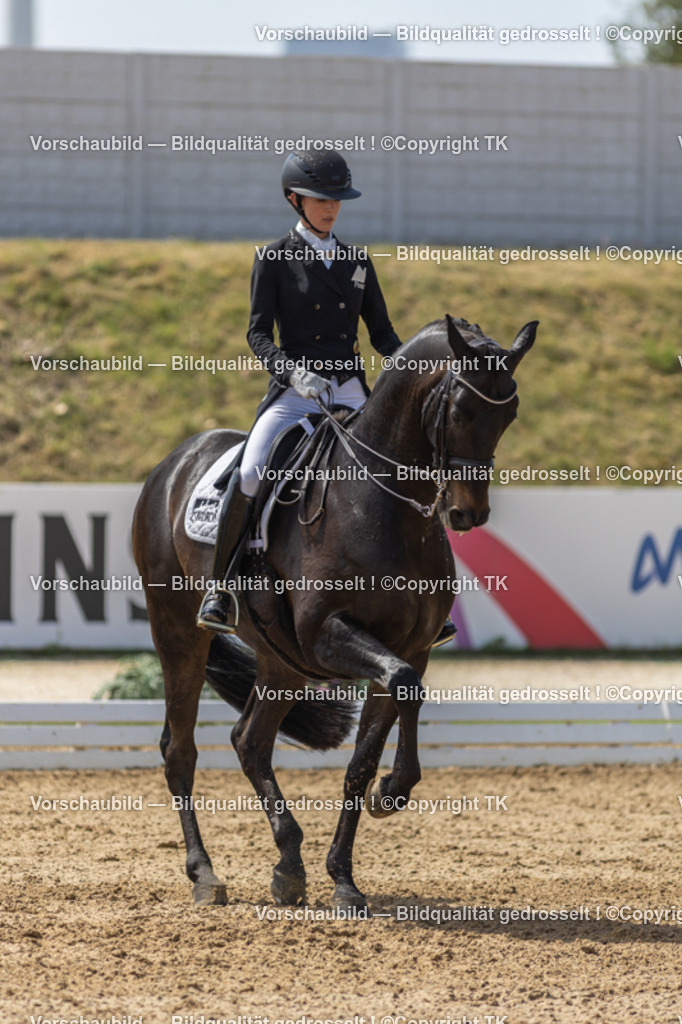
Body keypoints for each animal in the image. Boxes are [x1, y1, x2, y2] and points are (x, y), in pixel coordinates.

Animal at [132, 314, 537, 911]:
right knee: (179, 749)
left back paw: (289, 865)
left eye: (509, 414)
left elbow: (368, 747)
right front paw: (392, 792)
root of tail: (177, 458)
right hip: (179, 631)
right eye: (462, 409)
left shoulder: (410, 645)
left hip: (282, 660)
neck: (385, 506)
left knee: (250, 742)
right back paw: (205, 875)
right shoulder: (330, 634)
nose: (468, 513)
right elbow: (404, 684)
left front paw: (348, 870)